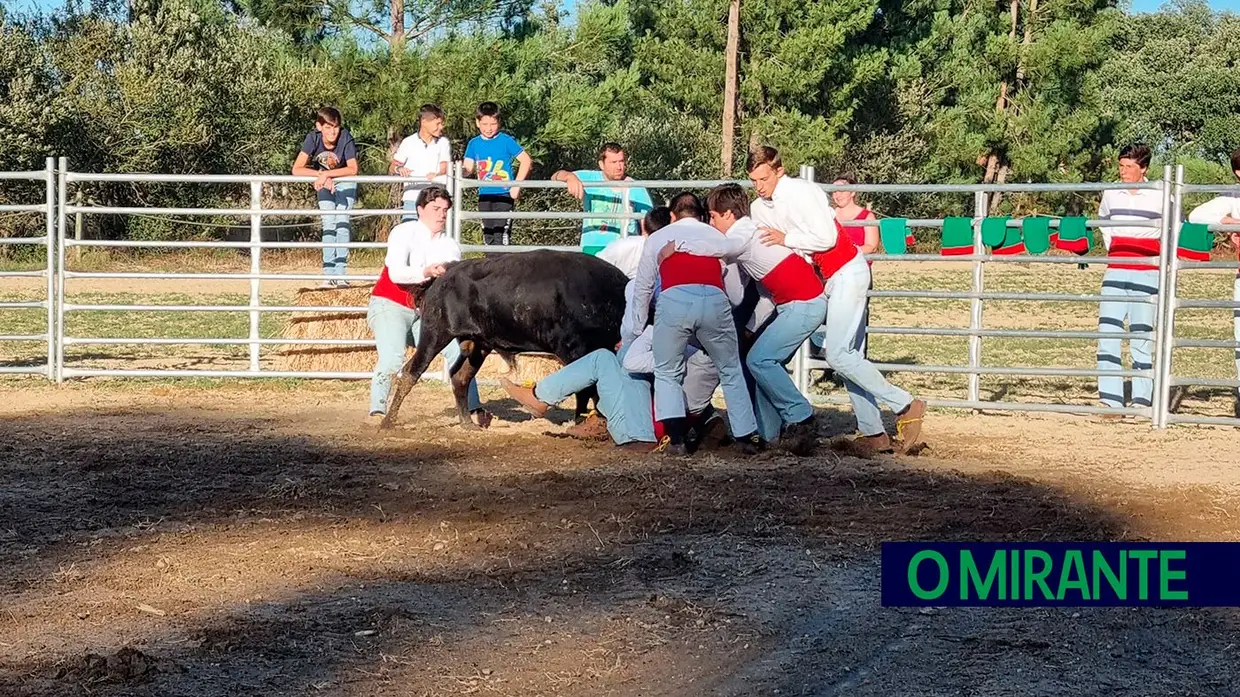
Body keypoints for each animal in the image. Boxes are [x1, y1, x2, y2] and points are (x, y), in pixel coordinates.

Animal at [376, 246, 629, 426]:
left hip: (477, 345)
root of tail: (444, 274)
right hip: (435, 334)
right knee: (411, 372)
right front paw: (584, 421)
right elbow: (586, 388)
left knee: (460, 377)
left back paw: (467, 423)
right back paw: (388, 423)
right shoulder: (573, 349)